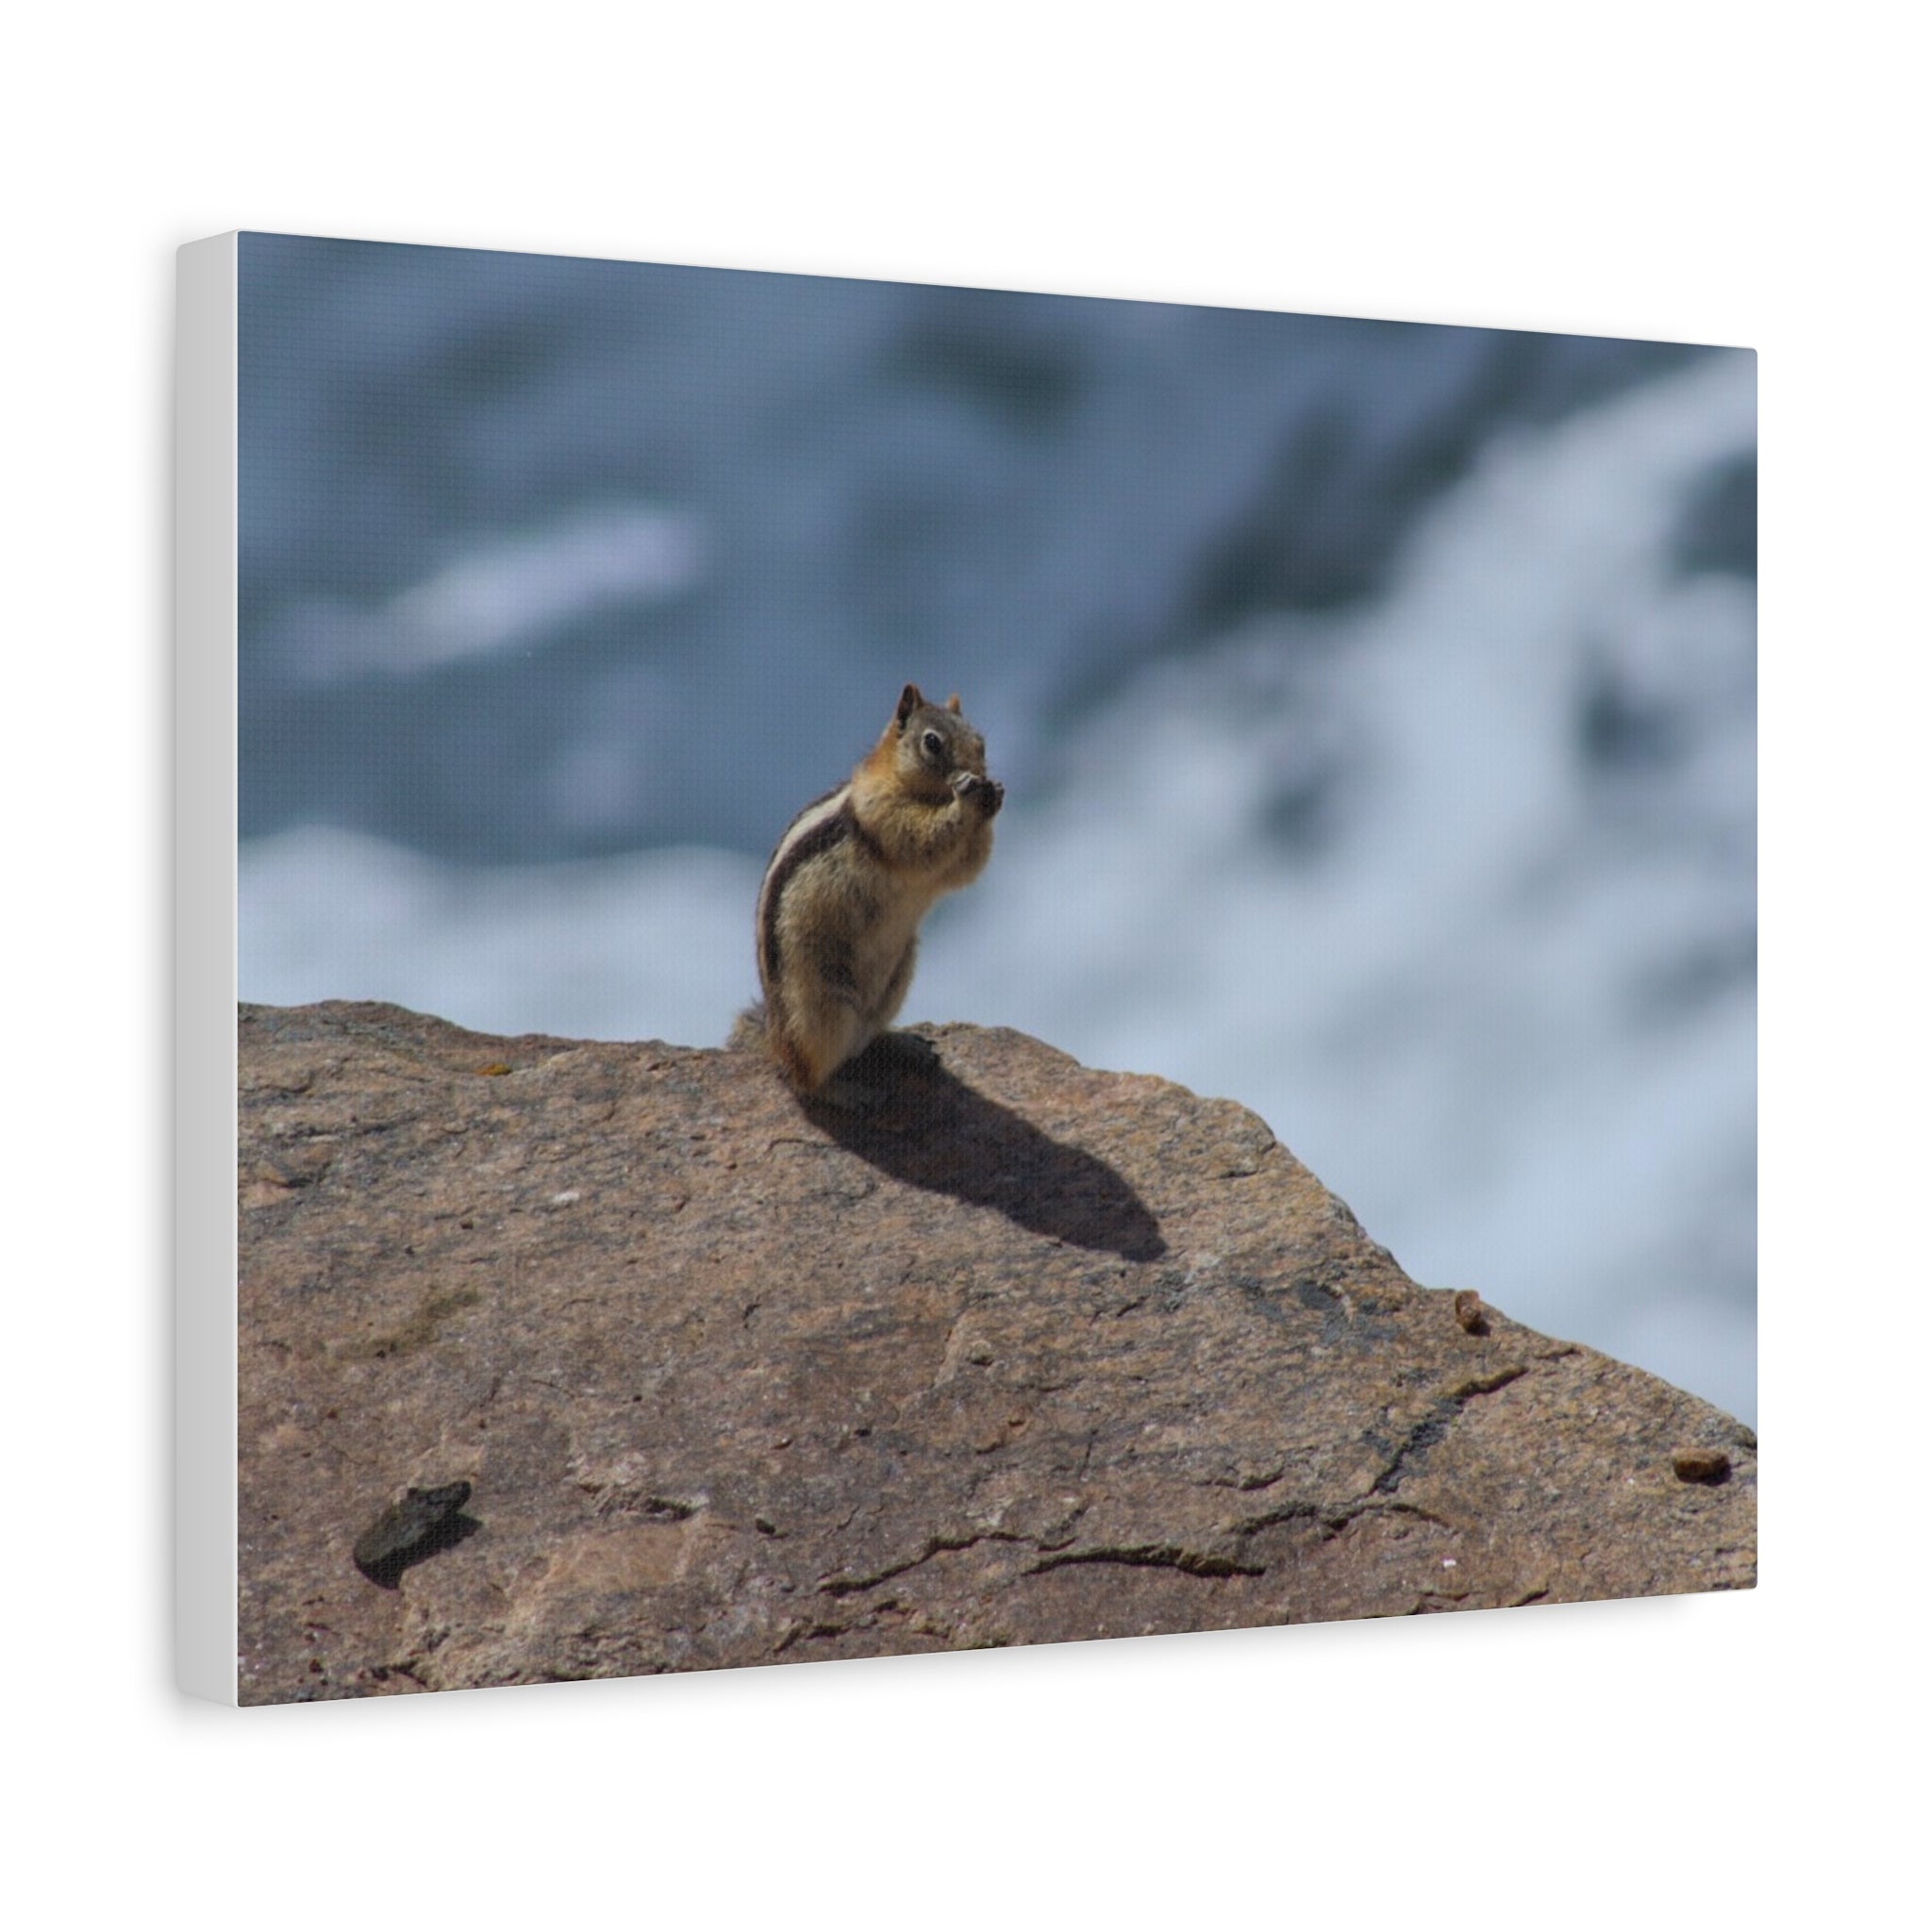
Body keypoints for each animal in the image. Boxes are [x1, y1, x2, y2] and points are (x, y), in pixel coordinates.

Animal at [733, 683, 1003, 1105]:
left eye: (981, 742)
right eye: (932, 743)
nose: (979, 774)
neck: (924, 794)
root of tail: (773, 1037)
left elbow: (965, 867)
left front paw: (994, 796)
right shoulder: (883, 814)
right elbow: (923, 841)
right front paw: (969, 798)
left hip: (896, 983)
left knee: (864, 1041)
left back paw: (904, 1045)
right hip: (821, 1011)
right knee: (802, 1076)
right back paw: (848, 1092)